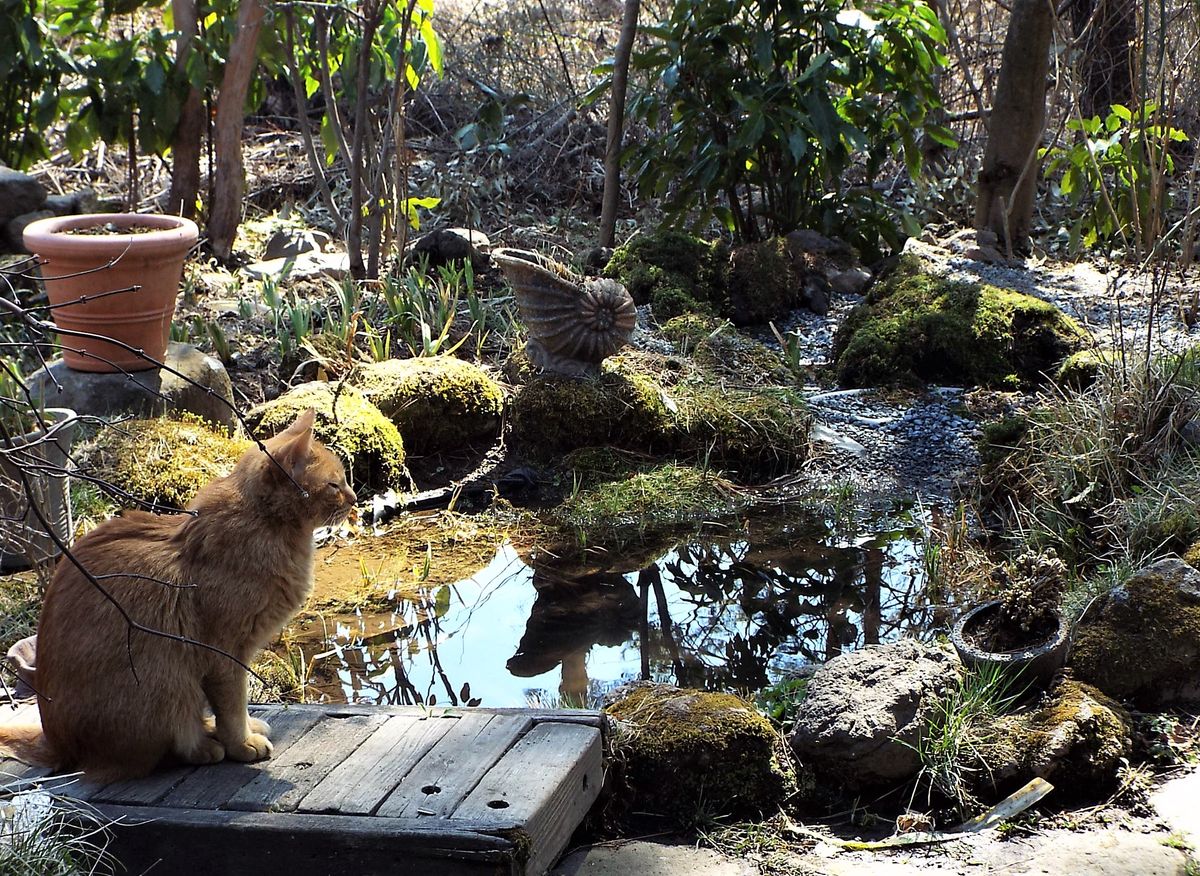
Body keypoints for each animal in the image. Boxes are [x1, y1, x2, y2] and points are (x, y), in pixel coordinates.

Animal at [0, 410, 352, 777]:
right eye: (334, 485)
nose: (355, 498)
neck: (265, 526)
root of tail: (57, 743)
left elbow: (233, 707)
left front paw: (243, 731)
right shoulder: (224, 654)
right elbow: (232, 705)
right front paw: (241, 744)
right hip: (167, 677)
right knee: (158, 750)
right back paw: (205, 746)